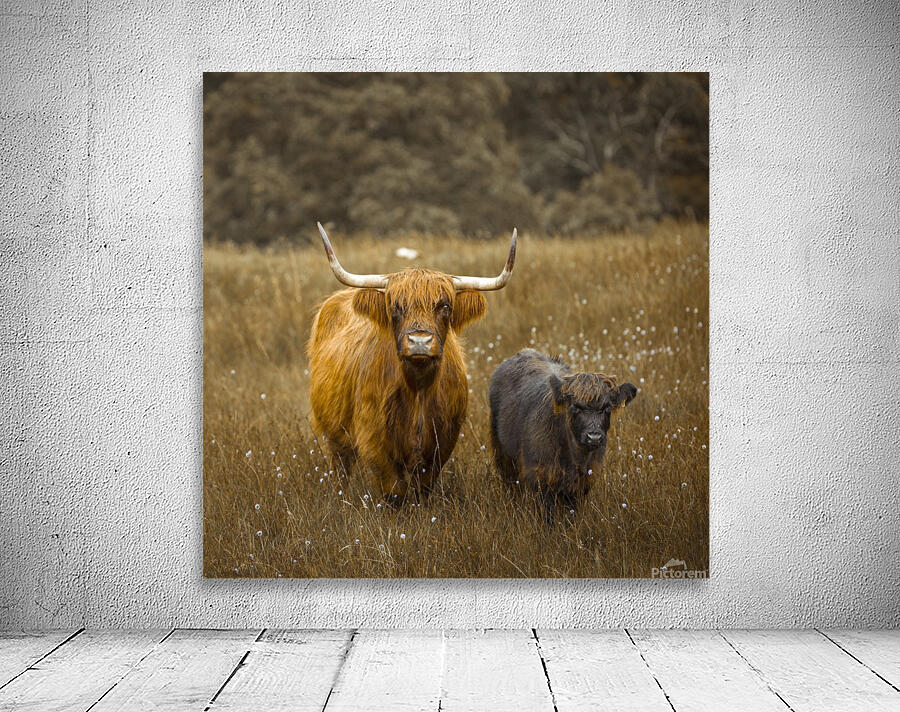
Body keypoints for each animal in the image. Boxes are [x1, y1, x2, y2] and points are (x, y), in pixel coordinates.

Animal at [308, 222, 517, 504]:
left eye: (445, 306)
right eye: (395, 307)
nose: (419, 341)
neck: (418, 389)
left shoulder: (442, 443)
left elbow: (422, 489)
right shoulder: (374, 441)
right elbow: (395, 491)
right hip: (334, 435)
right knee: (341, 467)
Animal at [489, 349, 637, 521]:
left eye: (606, 408)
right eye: (575, 407)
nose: (594, 437)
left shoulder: (584, 483)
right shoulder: (540, 478)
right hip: (503, 454)